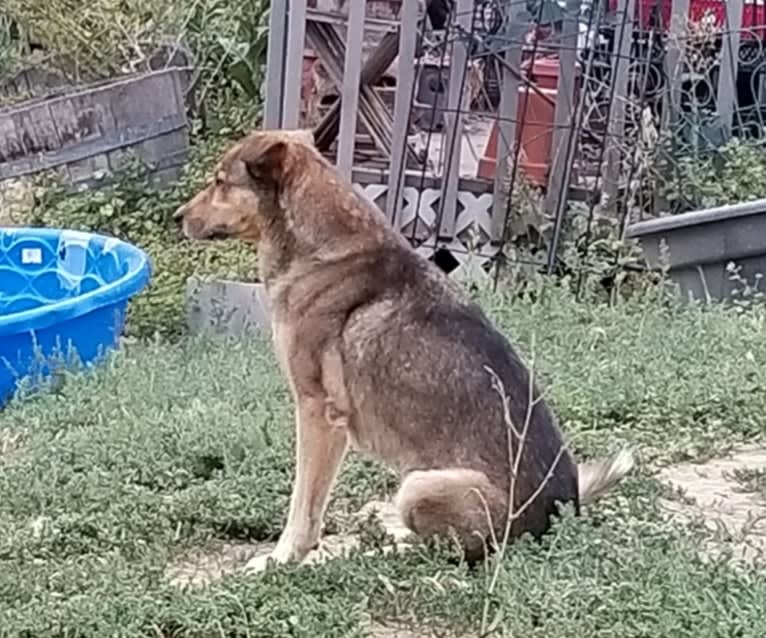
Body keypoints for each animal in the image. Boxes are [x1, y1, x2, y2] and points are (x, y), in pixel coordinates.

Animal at [174, 127, 636, 572]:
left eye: (219, 181)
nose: (177, 217)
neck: (321, 248)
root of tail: (560, 515)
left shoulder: (317, 413)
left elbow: (302, 507)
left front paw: (282, 558)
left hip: (420, 486)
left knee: (447, 552)